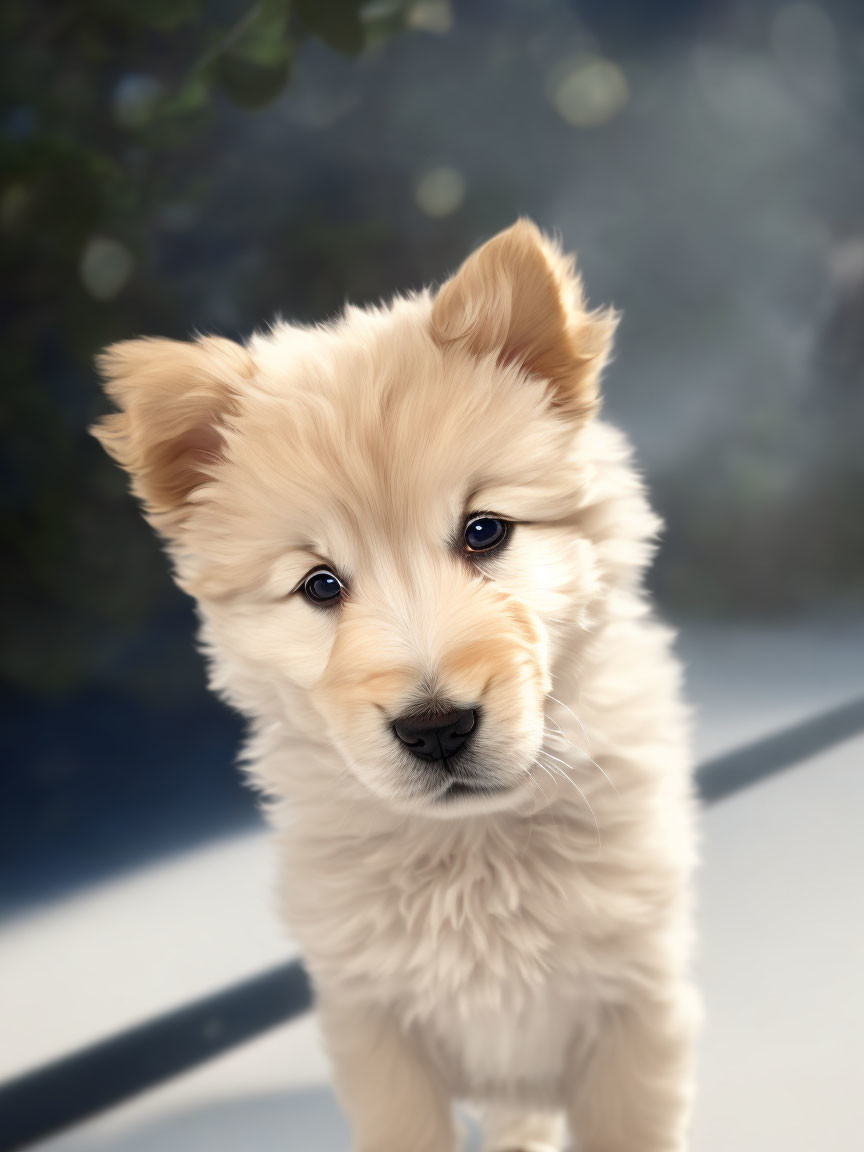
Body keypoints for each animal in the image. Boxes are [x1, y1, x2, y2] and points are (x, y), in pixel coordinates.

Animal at [94, 220, 700, 1147]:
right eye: (320, 586)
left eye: (484, 532)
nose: (436, 728)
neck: (475, 847)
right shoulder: (374, 1024)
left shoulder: (636, 1005)